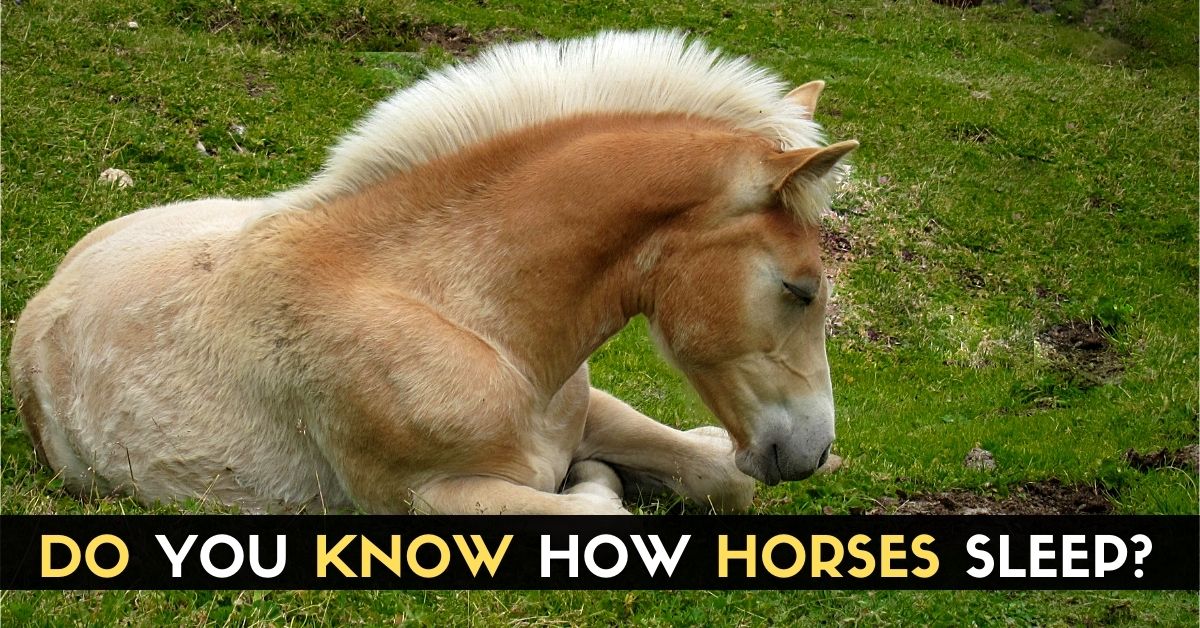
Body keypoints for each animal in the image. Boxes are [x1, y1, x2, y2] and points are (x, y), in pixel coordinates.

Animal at [9, 31, 856, 514]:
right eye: (799, 289)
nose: (811, 453)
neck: (467, 317)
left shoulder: (589, 407)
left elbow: (721, 477)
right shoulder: (432, 498)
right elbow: (598, 508)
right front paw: (599, 479)